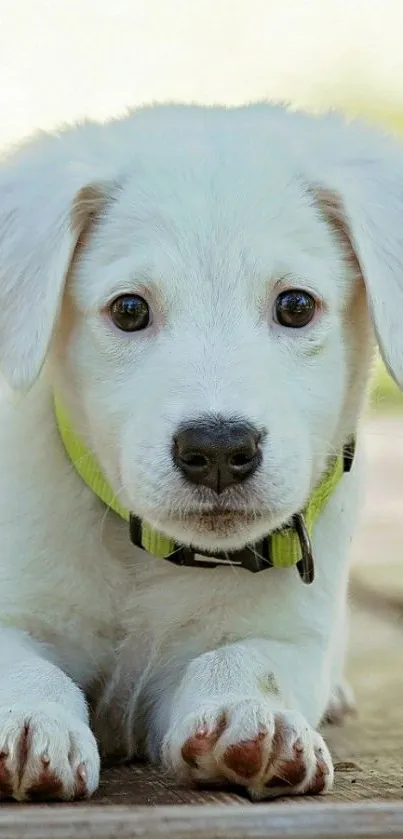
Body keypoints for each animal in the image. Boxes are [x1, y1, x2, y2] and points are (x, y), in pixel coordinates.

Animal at [0, 101, 400, 804]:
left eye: (296, 305)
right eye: (130, 309)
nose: (217, 449)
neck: (151, 558)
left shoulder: (291, 635)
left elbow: (247, 658)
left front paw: (252, 713)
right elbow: (24, 666)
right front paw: (31, 719)